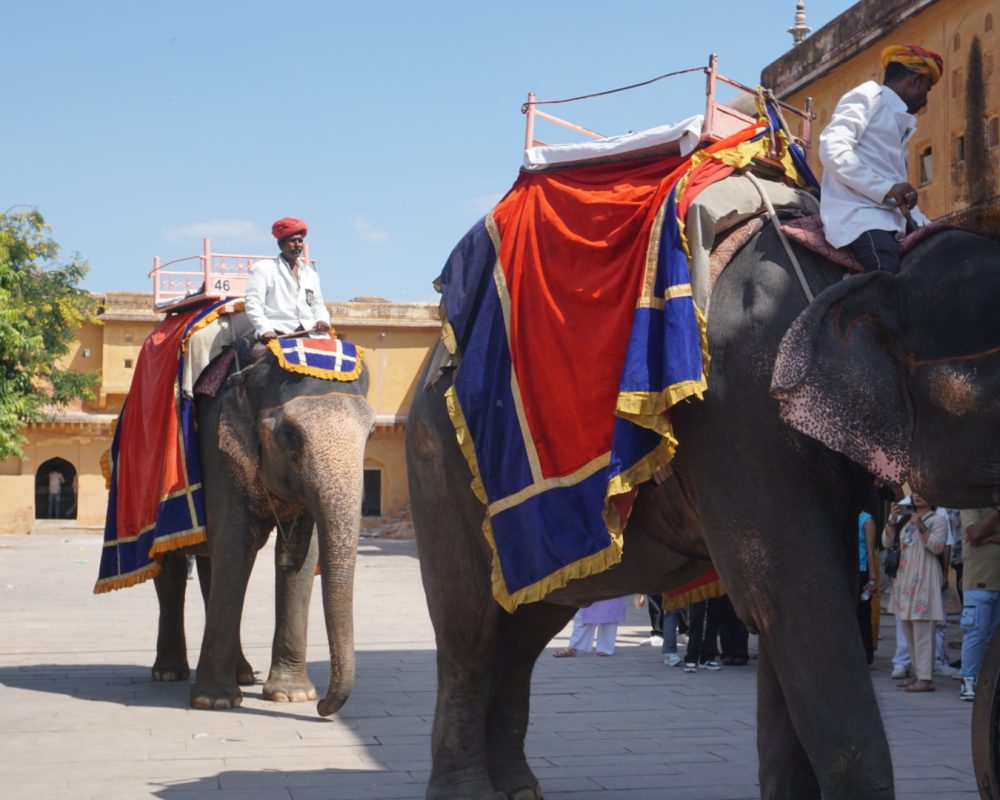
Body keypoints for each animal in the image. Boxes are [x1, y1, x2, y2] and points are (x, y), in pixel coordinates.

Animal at [151, 343, 374, 715]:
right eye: (290, 435)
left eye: (371, 434)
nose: (323, 706)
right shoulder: (219, 449)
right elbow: (235, 546)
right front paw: (214, 701)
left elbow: (299, 556)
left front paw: (292, 695)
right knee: (172, 568)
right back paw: (169, 673)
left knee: (210, 567)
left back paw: (242, 674)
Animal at [406, 226, 1000, 799]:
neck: (863, 265)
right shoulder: (740, 418)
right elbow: (794, 602)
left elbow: (792, 605)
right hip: (440, 462)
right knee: (470, 627)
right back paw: (471, 793)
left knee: (531, 624)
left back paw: (518, 789)